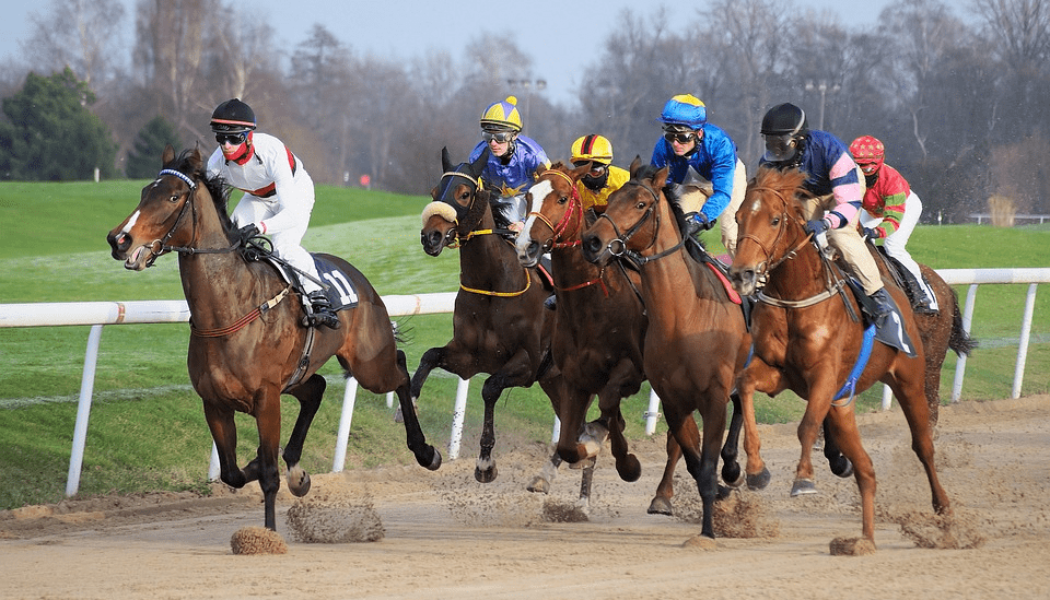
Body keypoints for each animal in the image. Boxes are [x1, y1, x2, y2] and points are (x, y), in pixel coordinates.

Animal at [106, 146, 441, 531]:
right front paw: (271, 468)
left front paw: (268, 532)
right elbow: (234, 473)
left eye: (173, 196)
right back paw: (297, 467)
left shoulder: (266, 399)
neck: (229, 310)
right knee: (317, 388)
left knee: (399, 370)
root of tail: (361, 279)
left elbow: (268, 475)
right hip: (298, 375)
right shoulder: (215, 403)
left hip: (368, 364)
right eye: (146, 191)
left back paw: (426, 451)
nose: (119, 239)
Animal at [415, 147, 562, 485]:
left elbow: (490, 387)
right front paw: (411, 417)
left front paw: (485, 462)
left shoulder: (528, 362)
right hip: (554, 381)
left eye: (464, 193)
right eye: (434, 192)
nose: (431, 237)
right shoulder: (468, 357)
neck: (494, 284)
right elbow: (428, 357)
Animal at [515, 161, 686, 514]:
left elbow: (608, 410)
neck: (590, 303)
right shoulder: (573, 378)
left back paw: (663, 496)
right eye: (528, 196)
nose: (526, 247)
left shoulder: (629, 371)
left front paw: (627, 463)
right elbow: (569, 442)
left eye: (563, 198)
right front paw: (587, 447)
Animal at [580, 160, 751, 540]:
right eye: (611, 198)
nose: (592, 241)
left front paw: (708, 532)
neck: (683, 315)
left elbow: (706, 465)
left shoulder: (713, 395)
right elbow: (694, 460)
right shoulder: (673, 399)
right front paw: (719, 495)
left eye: (641, 204)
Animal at [727, 165, 951, 546]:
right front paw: (756, 470)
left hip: (911, 379)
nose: (742, 273)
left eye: (774, 219)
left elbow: (805, 426)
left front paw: (804, 479)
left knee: (923, 444)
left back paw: (943, 507)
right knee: (865, 467)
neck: (796, 297)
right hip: (843, 403)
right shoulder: (775, 371)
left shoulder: (824, 375)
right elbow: (744, 387)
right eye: (739, 217)